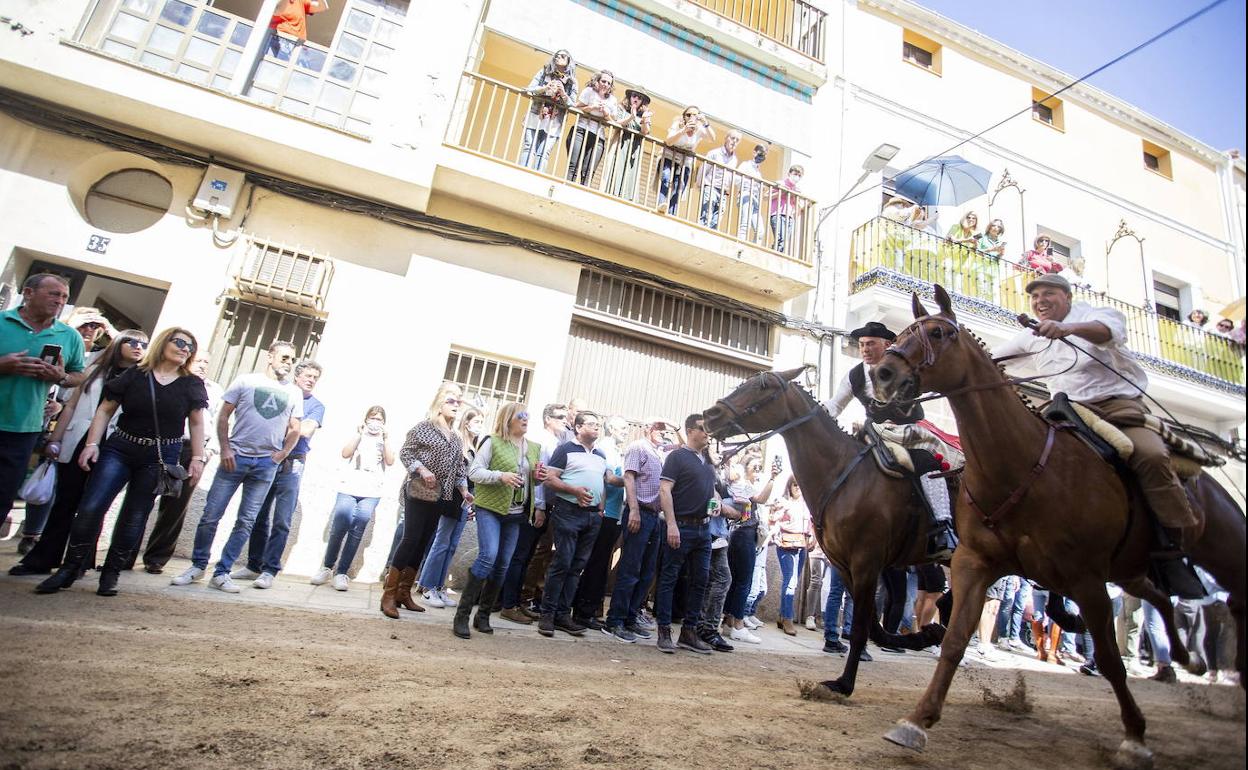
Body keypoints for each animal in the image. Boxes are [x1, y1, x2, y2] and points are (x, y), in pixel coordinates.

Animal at [703, 366, 943, 698]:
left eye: (763, 386)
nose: (709, 415)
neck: (845, 473)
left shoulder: (866, 563)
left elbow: (863, 626)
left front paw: (844, 683)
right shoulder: (846, 565)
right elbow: (869, 624)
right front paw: (921, 636)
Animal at [873, 283, 1243, 768]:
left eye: (937, 332)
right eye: (901, 333)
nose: (881, 373)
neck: (1022, 464)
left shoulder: (1085, 580)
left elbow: (1109, 659)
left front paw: (1135, 737)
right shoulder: (975, 565)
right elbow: (954, 641)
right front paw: (916, 721)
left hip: (1218, 548)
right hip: (1129, 568)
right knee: (1160, 596)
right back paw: (1186, 658)